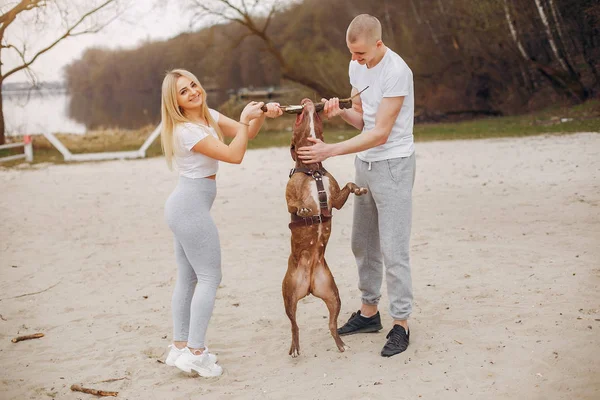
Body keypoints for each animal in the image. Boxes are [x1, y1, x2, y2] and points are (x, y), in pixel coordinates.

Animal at [284, 99, 368, 356]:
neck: (314, 170)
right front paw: (303, 210)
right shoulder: (288, 197)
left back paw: (341, 344)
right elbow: (294, 203)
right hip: (288, 295)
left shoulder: (336, 200)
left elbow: (349, 185)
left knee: (331, 323)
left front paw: (360, 189)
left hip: (332, 294)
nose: (306, 101)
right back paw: (295, 347)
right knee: (294, 325)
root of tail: (310, 285)